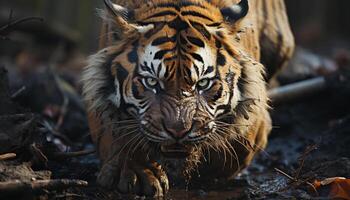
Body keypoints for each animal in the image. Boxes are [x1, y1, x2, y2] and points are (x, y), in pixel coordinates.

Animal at [81, 0, 292, 197]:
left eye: (203, 84)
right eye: (151, 81)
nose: (178, 131)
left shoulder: (255, 118)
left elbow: (238, 145)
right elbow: (117, 130)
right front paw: (137, 171)